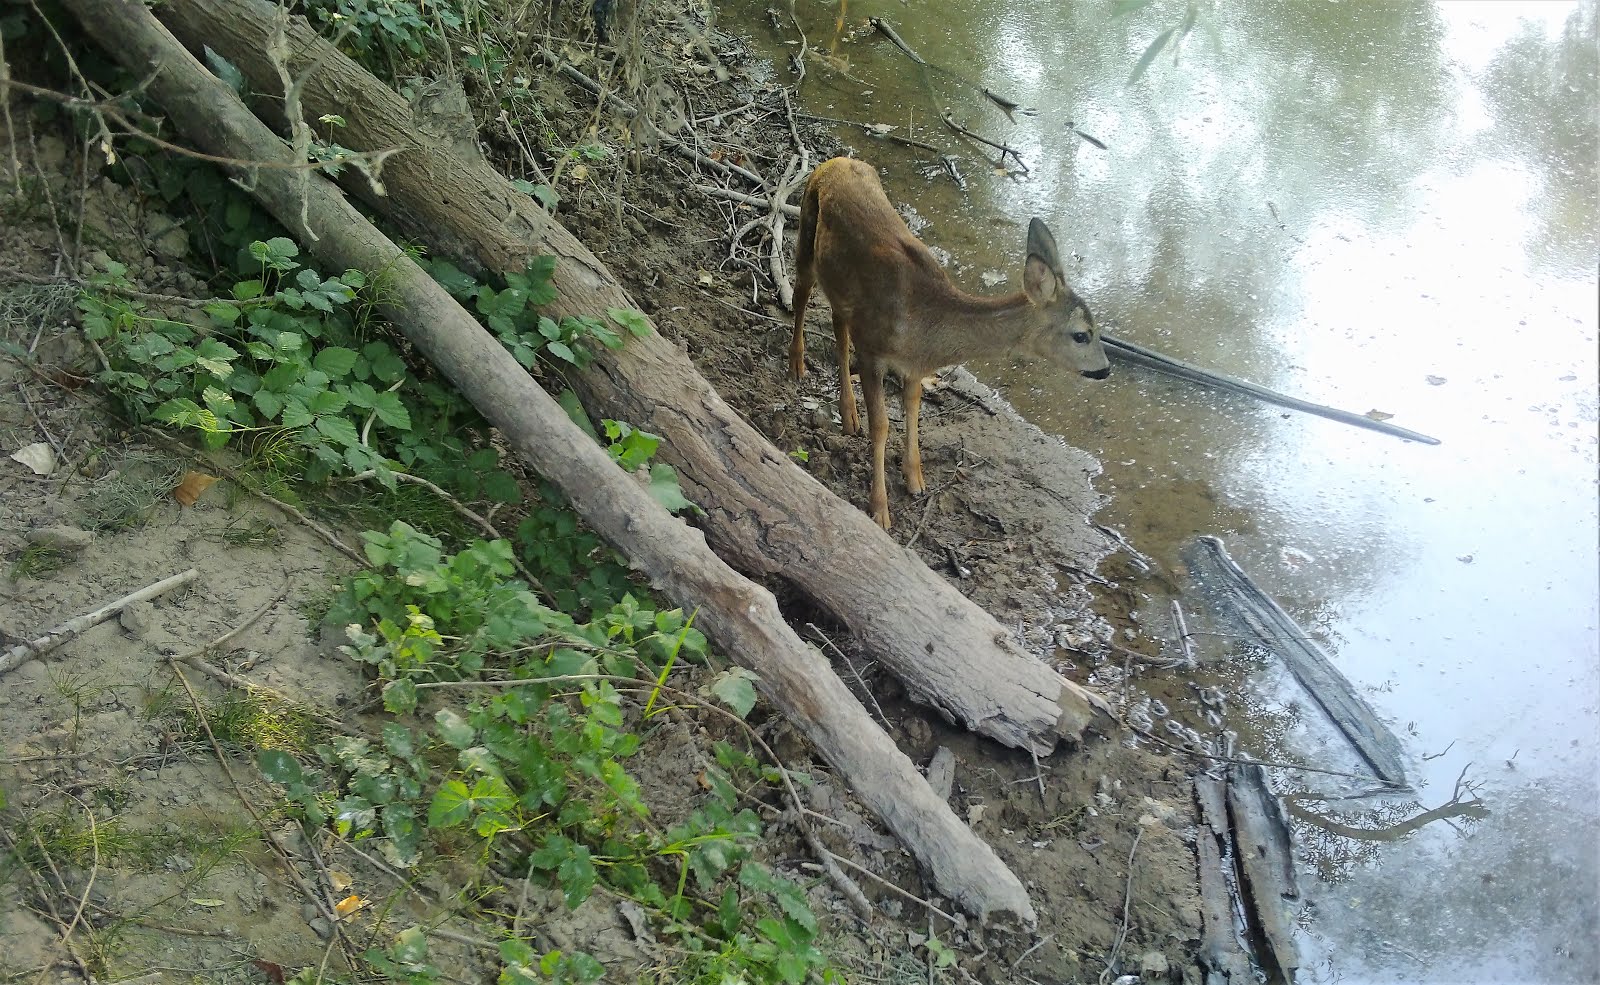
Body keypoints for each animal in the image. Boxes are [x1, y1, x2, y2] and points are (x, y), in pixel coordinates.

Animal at [790, 156, 1113, 530]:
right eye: (1081, 334)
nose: (1105, 369)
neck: (924, 328)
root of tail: (835, 161)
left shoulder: (914, 366)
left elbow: (913, 408)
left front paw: (916, 480)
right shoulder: (872, 349)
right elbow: (881, 426)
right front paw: (880, 510)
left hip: (841, 286)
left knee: (838, 328)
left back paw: (848, 414)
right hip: (806, 227)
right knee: (800, 296)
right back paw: (797, 365)